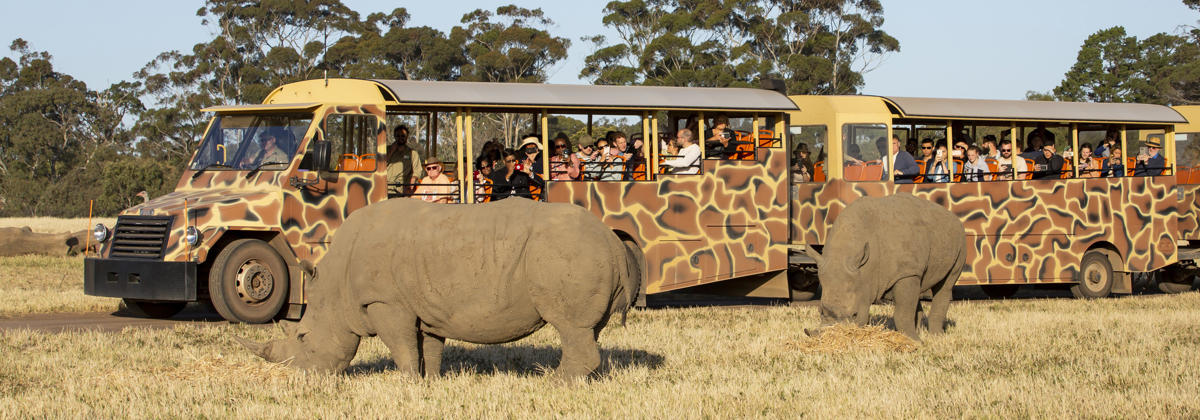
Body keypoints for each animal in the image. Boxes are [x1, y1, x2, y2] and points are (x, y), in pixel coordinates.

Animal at [238, 198, 643, 379]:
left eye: (303, 337)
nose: (303, 376)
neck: (337, 287)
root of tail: (614, 241)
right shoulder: (423, 304)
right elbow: (427, 346)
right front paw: (432, 380)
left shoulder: (387, 302)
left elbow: (401, 345)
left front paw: (406, 383)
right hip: (585, 252)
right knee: (587, 329)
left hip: (567, 251)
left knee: (570, 326)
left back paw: (554, 383)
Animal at [805, 194, 965, 341]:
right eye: (820, 312)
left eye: (855, 314)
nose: (838, 333)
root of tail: (952, 215)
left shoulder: (905, 272)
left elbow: (903, 312)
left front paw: (914, 341)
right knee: (918, 287)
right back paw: (921, 331)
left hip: (960, 238)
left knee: (946, 285)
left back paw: (936, 337)